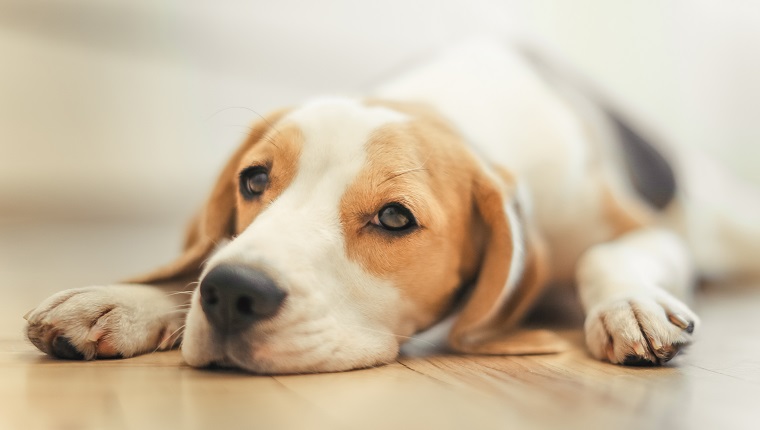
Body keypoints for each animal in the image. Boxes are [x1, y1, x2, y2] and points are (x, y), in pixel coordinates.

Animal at [23, 42, 760, 374]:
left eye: (396, 218)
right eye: (253, 179)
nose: (233, 293)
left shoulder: (638, 229)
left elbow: (606, 256)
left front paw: (629, 305)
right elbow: (197, 259)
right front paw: (123, 301)